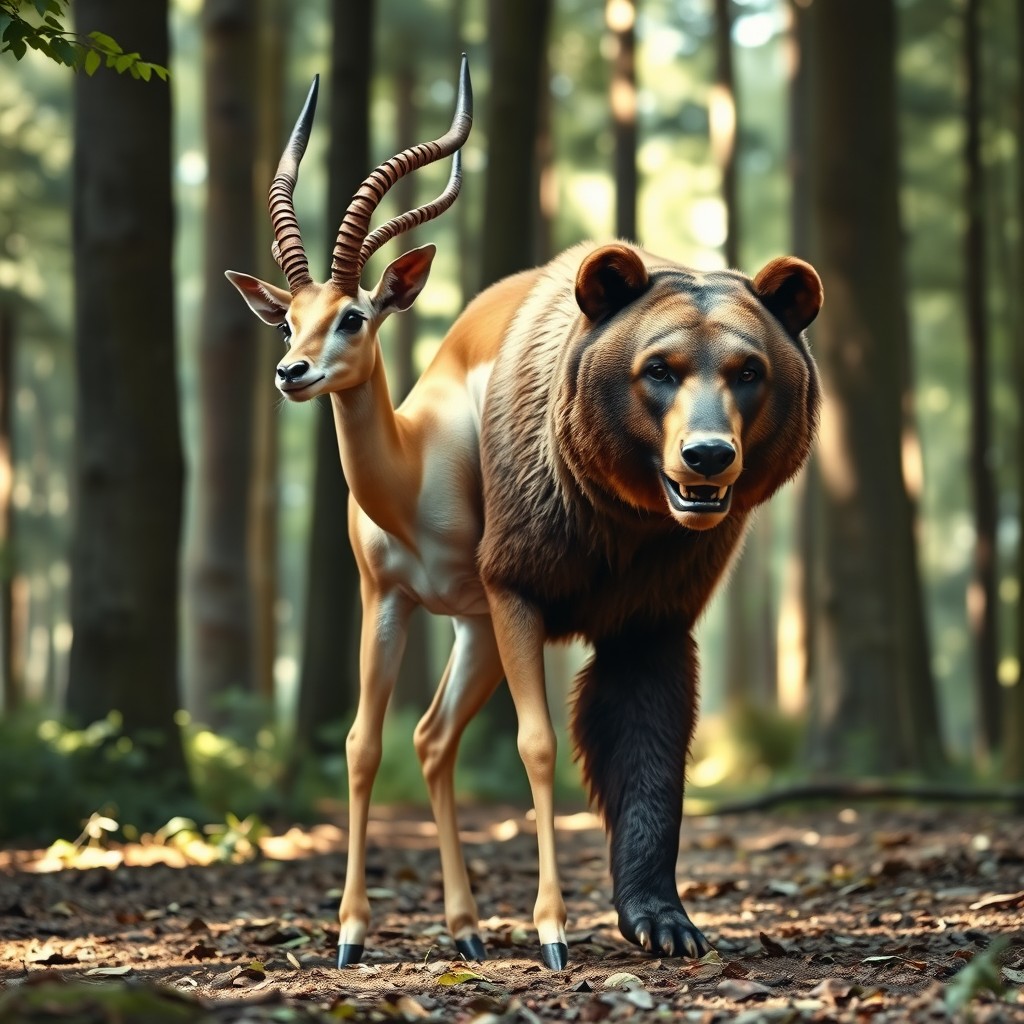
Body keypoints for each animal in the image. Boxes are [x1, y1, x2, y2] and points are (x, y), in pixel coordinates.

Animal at [229, 54, 823, 973]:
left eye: (354, 316)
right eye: (289, 319)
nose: (293, 373)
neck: (416, 470)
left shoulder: (508, 603)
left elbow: (536, 746)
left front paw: (550, 933)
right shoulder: (385, 598)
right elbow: (361, 746)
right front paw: (351, 936)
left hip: (479, 627)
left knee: (438, 738)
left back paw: (474, 929)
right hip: (468, 628)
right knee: (428, 738)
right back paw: (463, 927)